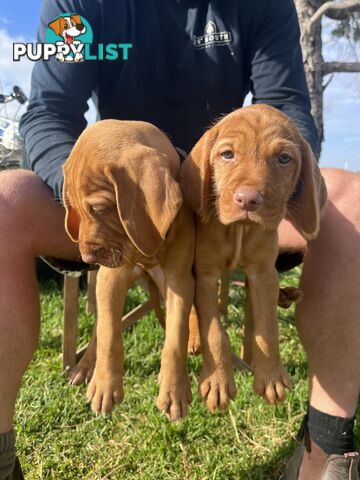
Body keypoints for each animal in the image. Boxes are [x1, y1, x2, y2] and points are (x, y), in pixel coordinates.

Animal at [63, 120, 195, 420]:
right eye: (72, 208)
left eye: (100, 208)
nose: (86, 257)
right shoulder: (111, 278)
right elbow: (109, 333)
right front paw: (104, 386)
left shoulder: (179, 281)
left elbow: (175, 337)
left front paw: (174, 391)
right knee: (100, 327)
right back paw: (84, 367)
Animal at [180, 105, 326, 412]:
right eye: (227, 154)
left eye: (284, 158)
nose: (247, 200)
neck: (240, 229)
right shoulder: (206, 275)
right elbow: (215, 331)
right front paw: (218, 381)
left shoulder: (263, 273)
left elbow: (267, 327)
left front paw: (270, 375)